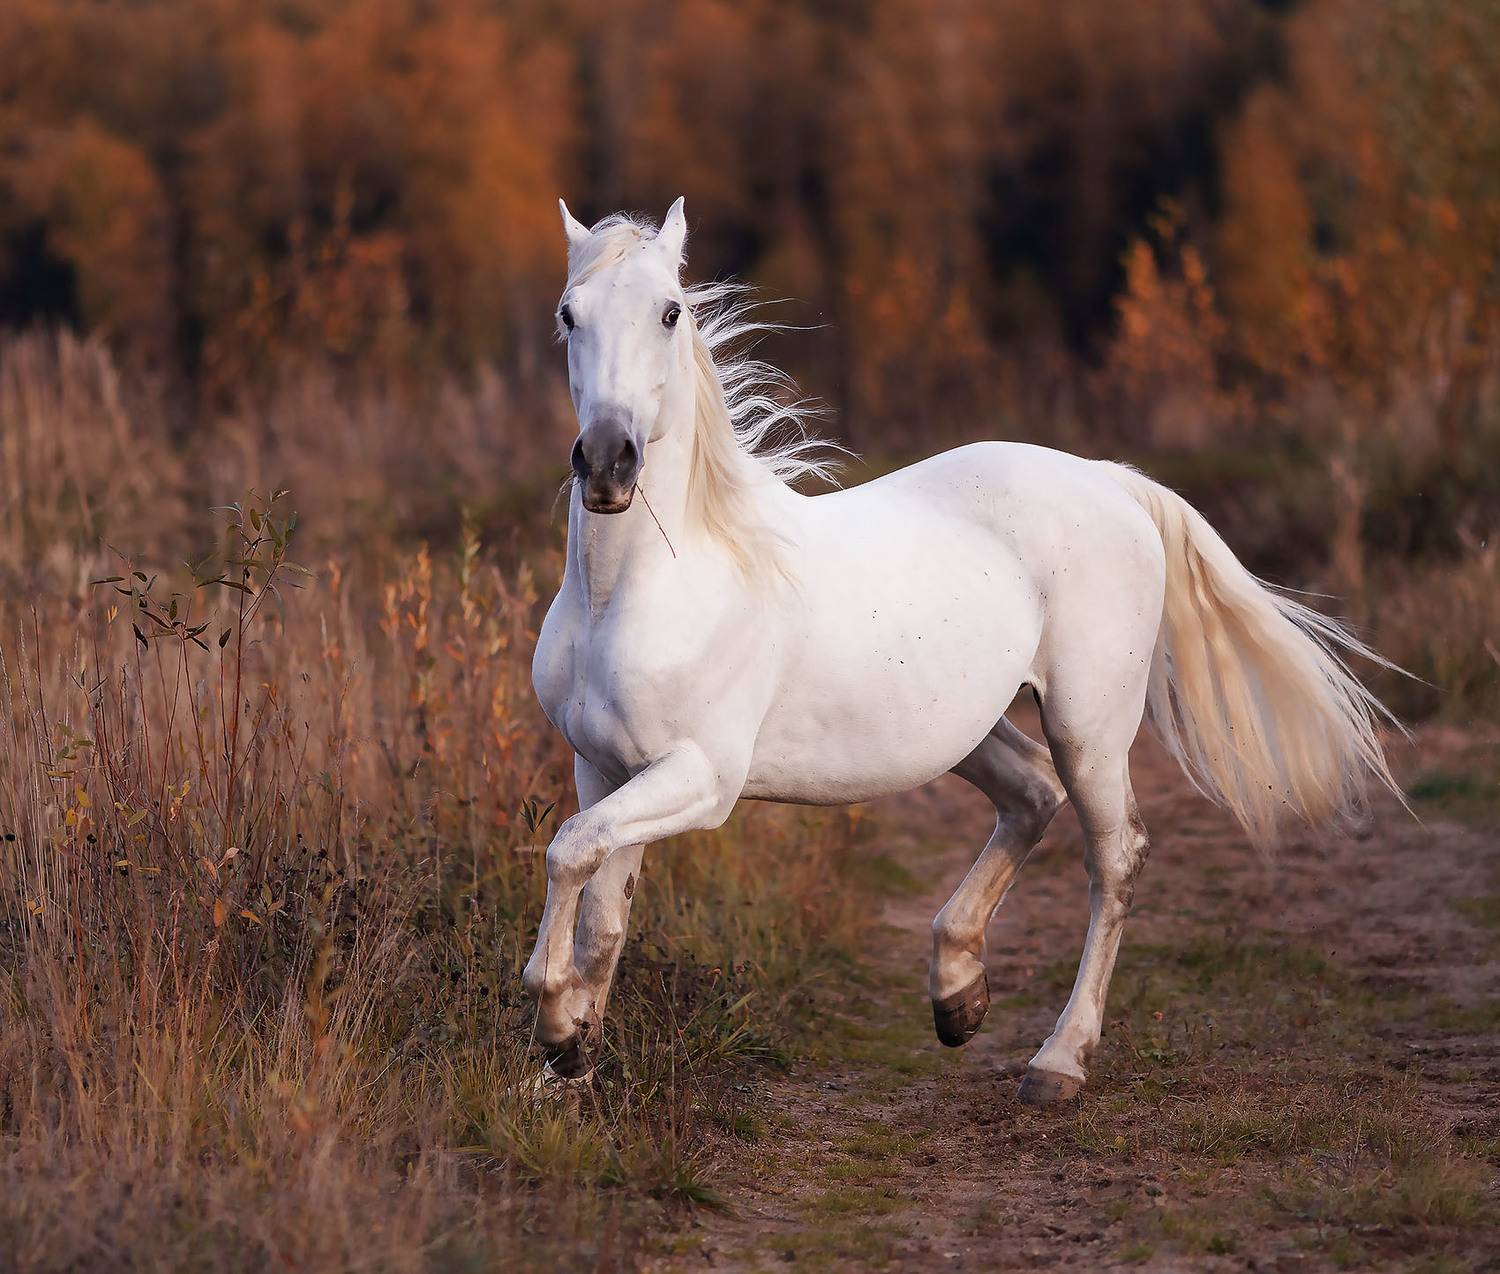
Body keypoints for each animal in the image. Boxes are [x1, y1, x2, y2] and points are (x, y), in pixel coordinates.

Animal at [521, 198, 1399, 1103]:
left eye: (671, 312)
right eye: (568, 314)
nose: (608, 463)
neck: (642, 587)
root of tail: (1110, 479)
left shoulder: (700, 777)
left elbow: (568, 851)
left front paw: (555, 1028)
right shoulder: (606, 767)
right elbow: (601, 909)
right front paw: (568, 1069)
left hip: (1089, 726)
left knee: (1113, 857)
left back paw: (1058, 1061)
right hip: (967, 727)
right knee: (1033, 793)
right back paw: (956, 992)